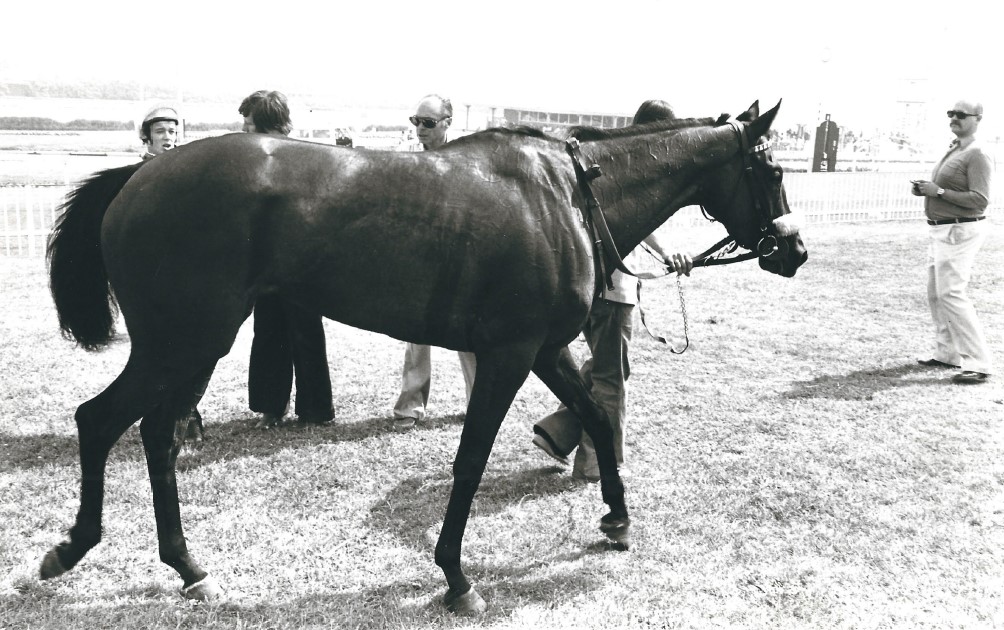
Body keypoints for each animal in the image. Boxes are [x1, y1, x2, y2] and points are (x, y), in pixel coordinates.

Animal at [45, 100, 807, 614]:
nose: (794, 250)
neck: (566, 193)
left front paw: (616, 517)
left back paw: (184, 565)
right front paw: (456, 577)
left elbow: (593, 412)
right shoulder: (507, 354)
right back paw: (79, 548)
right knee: (100, 420)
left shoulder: (546, 348)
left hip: (189, 347)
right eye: (771, 168)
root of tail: (138, 178)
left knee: (150, 434)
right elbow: (471, 458)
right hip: (186, 340)